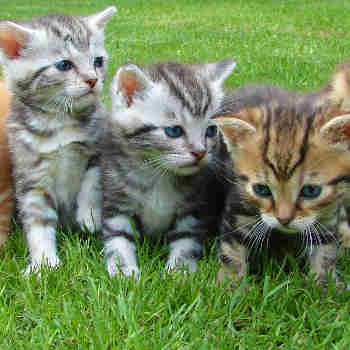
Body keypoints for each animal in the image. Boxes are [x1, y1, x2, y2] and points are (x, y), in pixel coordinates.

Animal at [0, 6, 117, 274]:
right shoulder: (31, 176)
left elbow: (92, 181)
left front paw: (89, 215)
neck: (59, 121)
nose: (93, 79)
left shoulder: (100, 149)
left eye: (98, 61)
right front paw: (43, 263)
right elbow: (38, 222)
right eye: (64, 65)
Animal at [100, 58, 237, 276]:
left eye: (211, 130)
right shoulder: (117, 201)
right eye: (174, 131)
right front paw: (124, 271)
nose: (200, 152)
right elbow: (118, 238)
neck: (158, 174)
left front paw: (179, 271)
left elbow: (186, 241)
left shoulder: (194, 209)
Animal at [215, 80, 350, 290]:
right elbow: (232, 247)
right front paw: (231, 285)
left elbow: (325, 246)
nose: (284, 220)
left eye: (311, 191)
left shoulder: (329, 210)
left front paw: (325, 285)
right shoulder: (238, 201)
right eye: (261, 189)